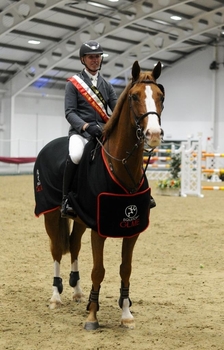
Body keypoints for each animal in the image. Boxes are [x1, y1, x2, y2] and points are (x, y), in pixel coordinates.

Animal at [33, 60, 164, 330]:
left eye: (160, 96)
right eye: (135, 96)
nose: (154, 134)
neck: (121, 166)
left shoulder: (130, 228)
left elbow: (125, 269)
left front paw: (125, 313)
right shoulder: (99, 229)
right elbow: (99, 270)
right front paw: (92, 315)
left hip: (81, 218)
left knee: (73, 244)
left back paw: (77, 291)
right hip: (51, 213)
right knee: (56, 249)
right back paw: (56, 297)